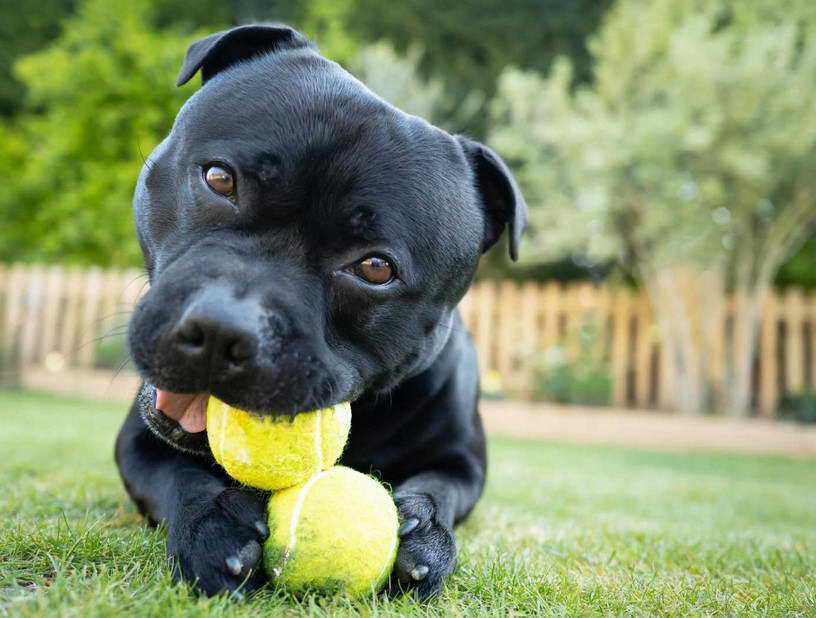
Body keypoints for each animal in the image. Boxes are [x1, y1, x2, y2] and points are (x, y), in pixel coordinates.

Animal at [115, 24, 524, 596]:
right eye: (219, 179)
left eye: (375, 267)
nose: (220, 330)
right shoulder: (138, 441)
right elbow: (178, 475)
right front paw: (212, 523)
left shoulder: (462, 461)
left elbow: (441, 485)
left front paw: (424, 529)